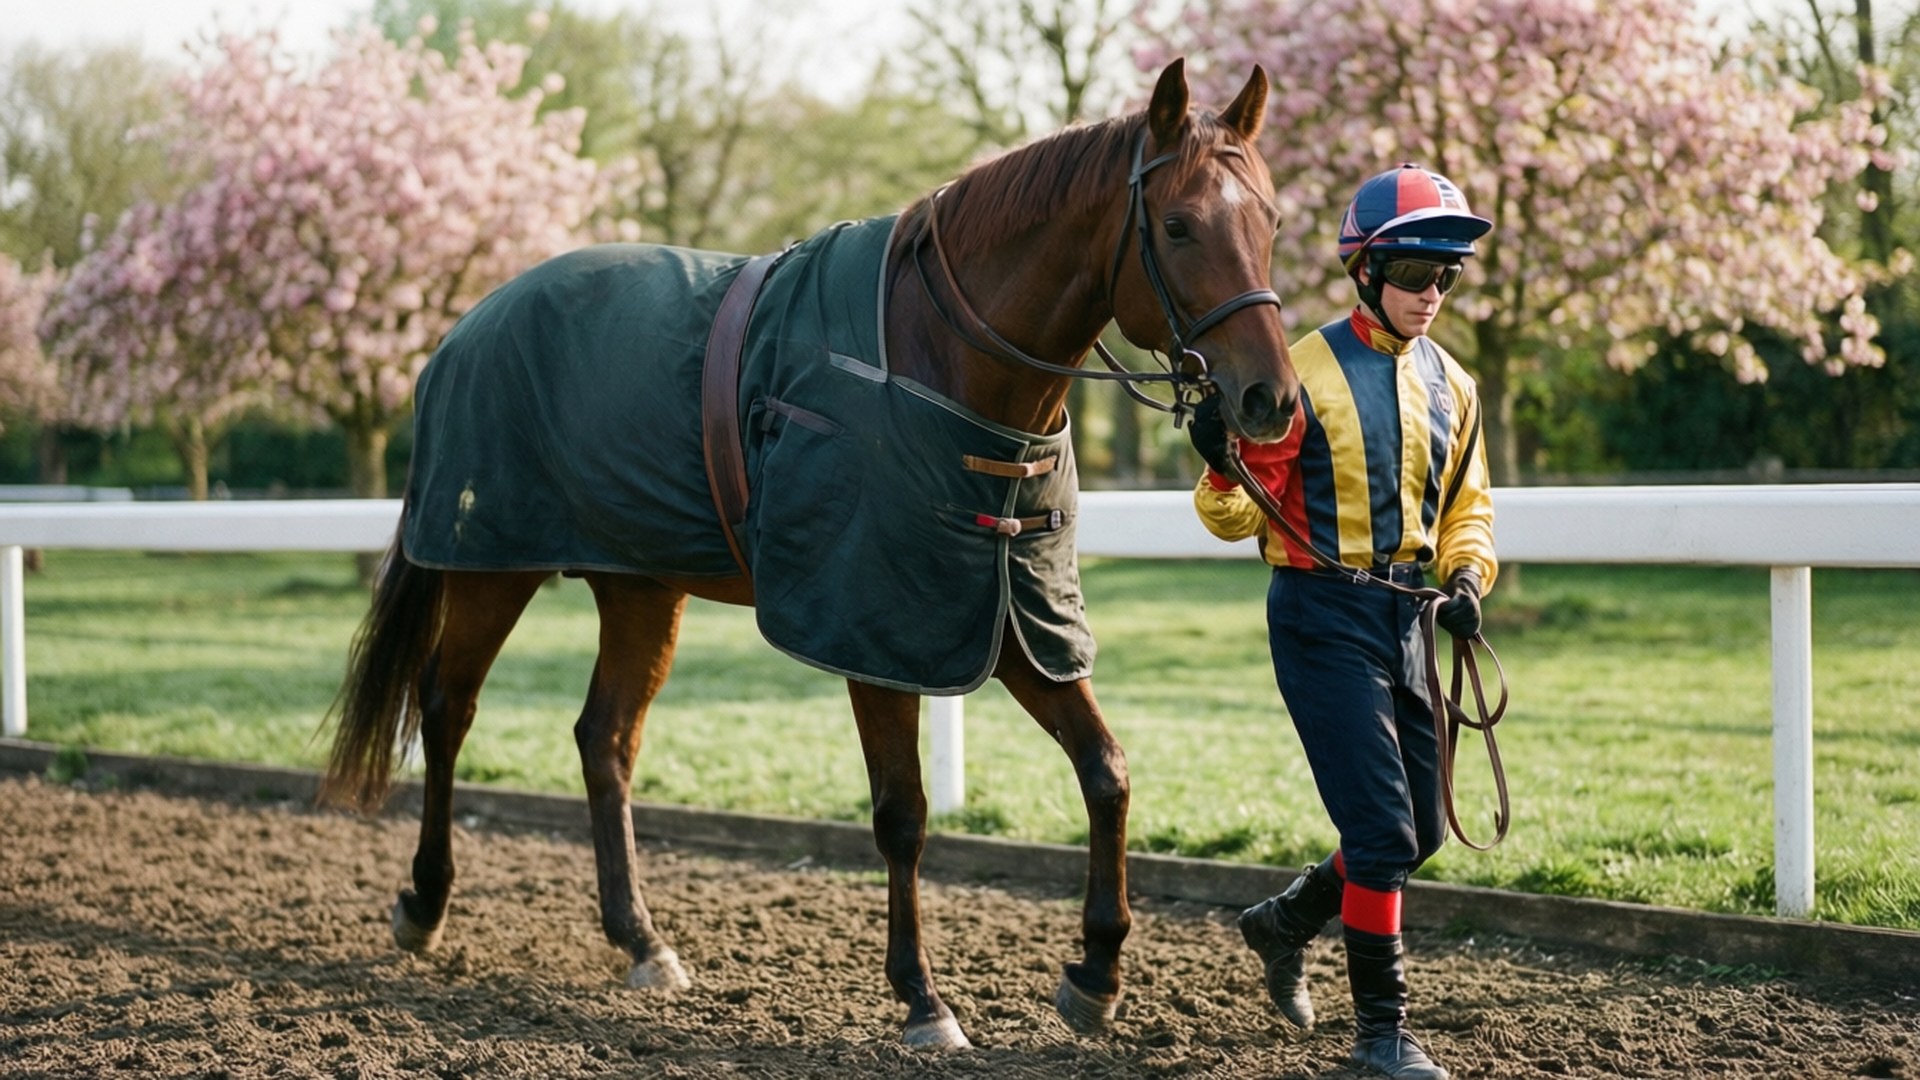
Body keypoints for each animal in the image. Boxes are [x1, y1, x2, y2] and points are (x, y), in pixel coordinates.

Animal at [318, 57, 1299, 1050]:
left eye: (1269, 221)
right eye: (1177, 225)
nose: (1270, 398)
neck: (944, 359)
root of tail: (468, 324)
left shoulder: (1006, 612)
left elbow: (1106, 773)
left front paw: (1096, 971)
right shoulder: (878, 630)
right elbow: (903, 814)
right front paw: (923, 999)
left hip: (640, 585)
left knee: (607, 738)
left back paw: (640, 938)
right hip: (494, 566)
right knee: (447, 707)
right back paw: (424, 903)